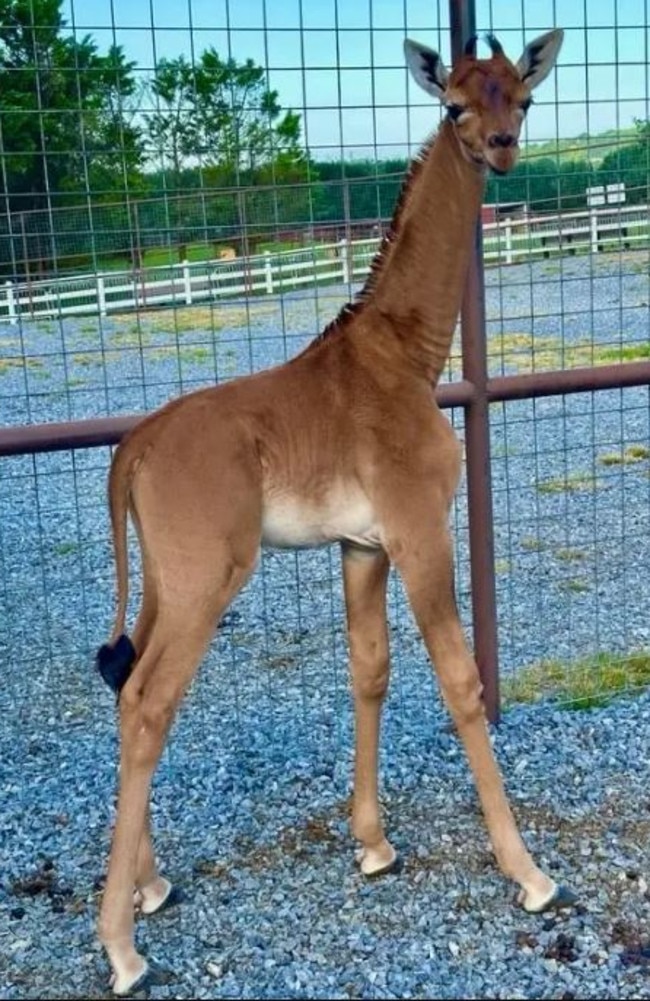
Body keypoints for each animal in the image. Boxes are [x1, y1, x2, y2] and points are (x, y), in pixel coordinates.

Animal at [96, 27, 568, 996]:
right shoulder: (421, 531)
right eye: (454, 106)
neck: (408, 356)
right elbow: (460, 681)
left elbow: (370, 670)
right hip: (207, 578)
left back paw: (153, 884)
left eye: (524, 97)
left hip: (163, 580)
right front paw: (531, 874)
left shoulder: (362, 544)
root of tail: (134, 448)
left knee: (126, 686)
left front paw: (375, 843)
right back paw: (122, 946)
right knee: (149, 703)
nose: (502, 149)